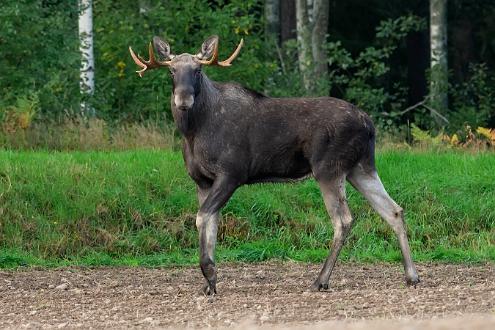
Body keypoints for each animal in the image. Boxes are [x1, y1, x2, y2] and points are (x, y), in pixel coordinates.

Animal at [130, 35, 420, 294]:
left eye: (198, 70)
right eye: (172, 71)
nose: (183, 100)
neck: (193, 132)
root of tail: (369, 124)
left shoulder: (232, 173)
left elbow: (202, 218)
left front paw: (210, 274)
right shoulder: (202, 180)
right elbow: (211, 223)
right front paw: (208, 284)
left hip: (328, 168)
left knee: (344, 220)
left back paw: (320, 280)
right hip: (361, 168)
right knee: (393, 210)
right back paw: (412, 275)